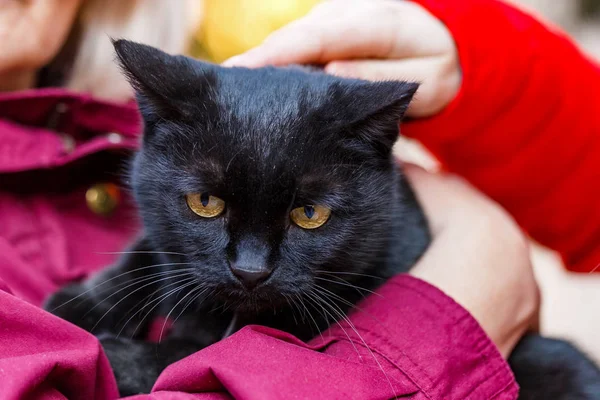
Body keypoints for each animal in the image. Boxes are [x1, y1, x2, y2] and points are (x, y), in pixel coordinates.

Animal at [44, 40, 600, 396]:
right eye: (205, 202)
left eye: (310, 214)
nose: (250, 270)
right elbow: (150, 250)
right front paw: (75, 308)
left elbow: (192, 357)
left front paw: (112, 357)